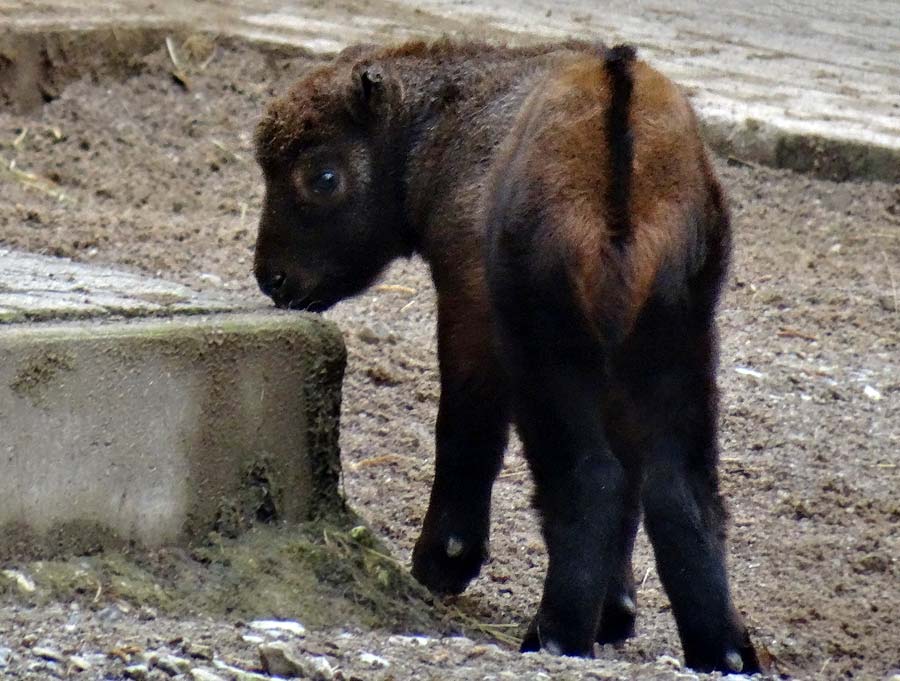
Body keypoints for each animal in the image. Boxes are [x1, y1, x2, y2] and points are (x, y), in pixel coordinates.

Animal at [251, 38, 760, 676]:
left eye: (322, 176)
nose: (272, 278)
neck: (446, 120)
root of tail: (619, 105)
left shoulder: (469, 313)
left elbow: (464, 432)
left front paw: (444, 560)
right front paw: (617, 611)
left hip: (552, 359)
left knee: (589, 478)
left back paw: (554, 636)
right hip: (676, 346)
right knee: (682, 491)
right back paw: (724, 652)